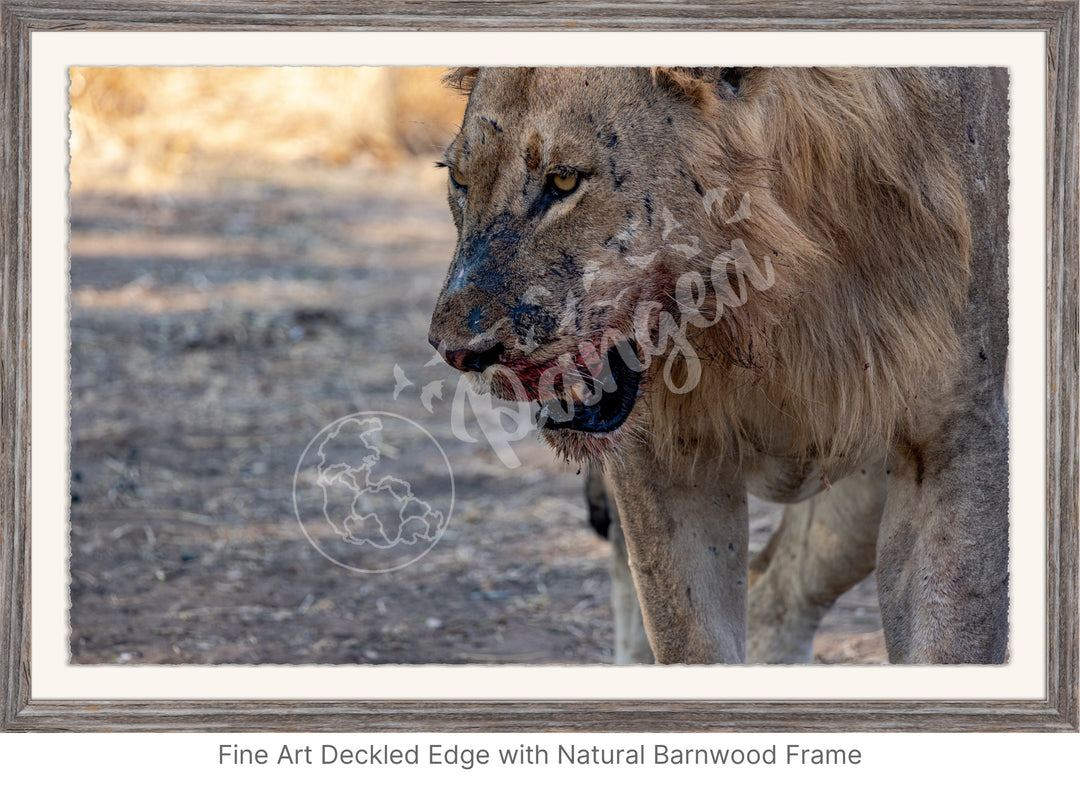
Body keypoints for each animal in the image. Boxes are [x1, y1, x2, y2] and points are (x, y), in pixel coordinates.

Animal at [425, 67, 1006, 665]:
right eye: (460, 180)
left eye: (563, 181)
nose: (456, 351)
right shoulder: (666, 455)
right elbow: (691, 638)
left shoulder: (949, 437)